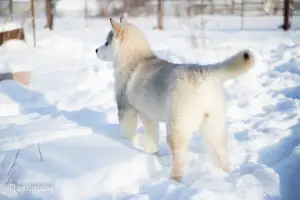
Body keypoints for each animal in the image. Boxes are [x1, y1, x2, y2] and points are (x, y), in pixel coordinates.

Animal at [96, 17, 255, 182]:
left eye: (106, 42)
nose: (96, 50)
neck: (136, 60)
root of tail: (203, 72)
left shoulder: (126, 109)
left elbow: (127, 133)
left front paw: (124, 145)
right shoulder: (149, 116)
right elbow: (152, 139)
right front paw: (153, 154)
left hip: (177, 126)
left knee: (179, 155)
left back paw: (174, 178)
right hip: (212, 124)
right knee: (220, 149)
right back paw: (225, 173)